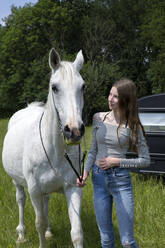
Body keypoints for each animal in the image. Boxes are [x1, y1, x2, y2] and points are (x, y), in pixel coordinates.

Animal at [1, 48, 85, 248]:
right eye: (54, 87)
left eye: (83, 86)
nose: (74, 130)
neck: (54, 150)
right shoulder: (35, 191)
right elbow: (38, 222)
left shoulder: (73, 187)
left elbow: (76, 232)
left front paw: (49, 232)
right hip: (18, 183)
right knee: (21, 201)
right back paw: (21, 235)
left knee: (46, 203)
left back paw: (48, 232)